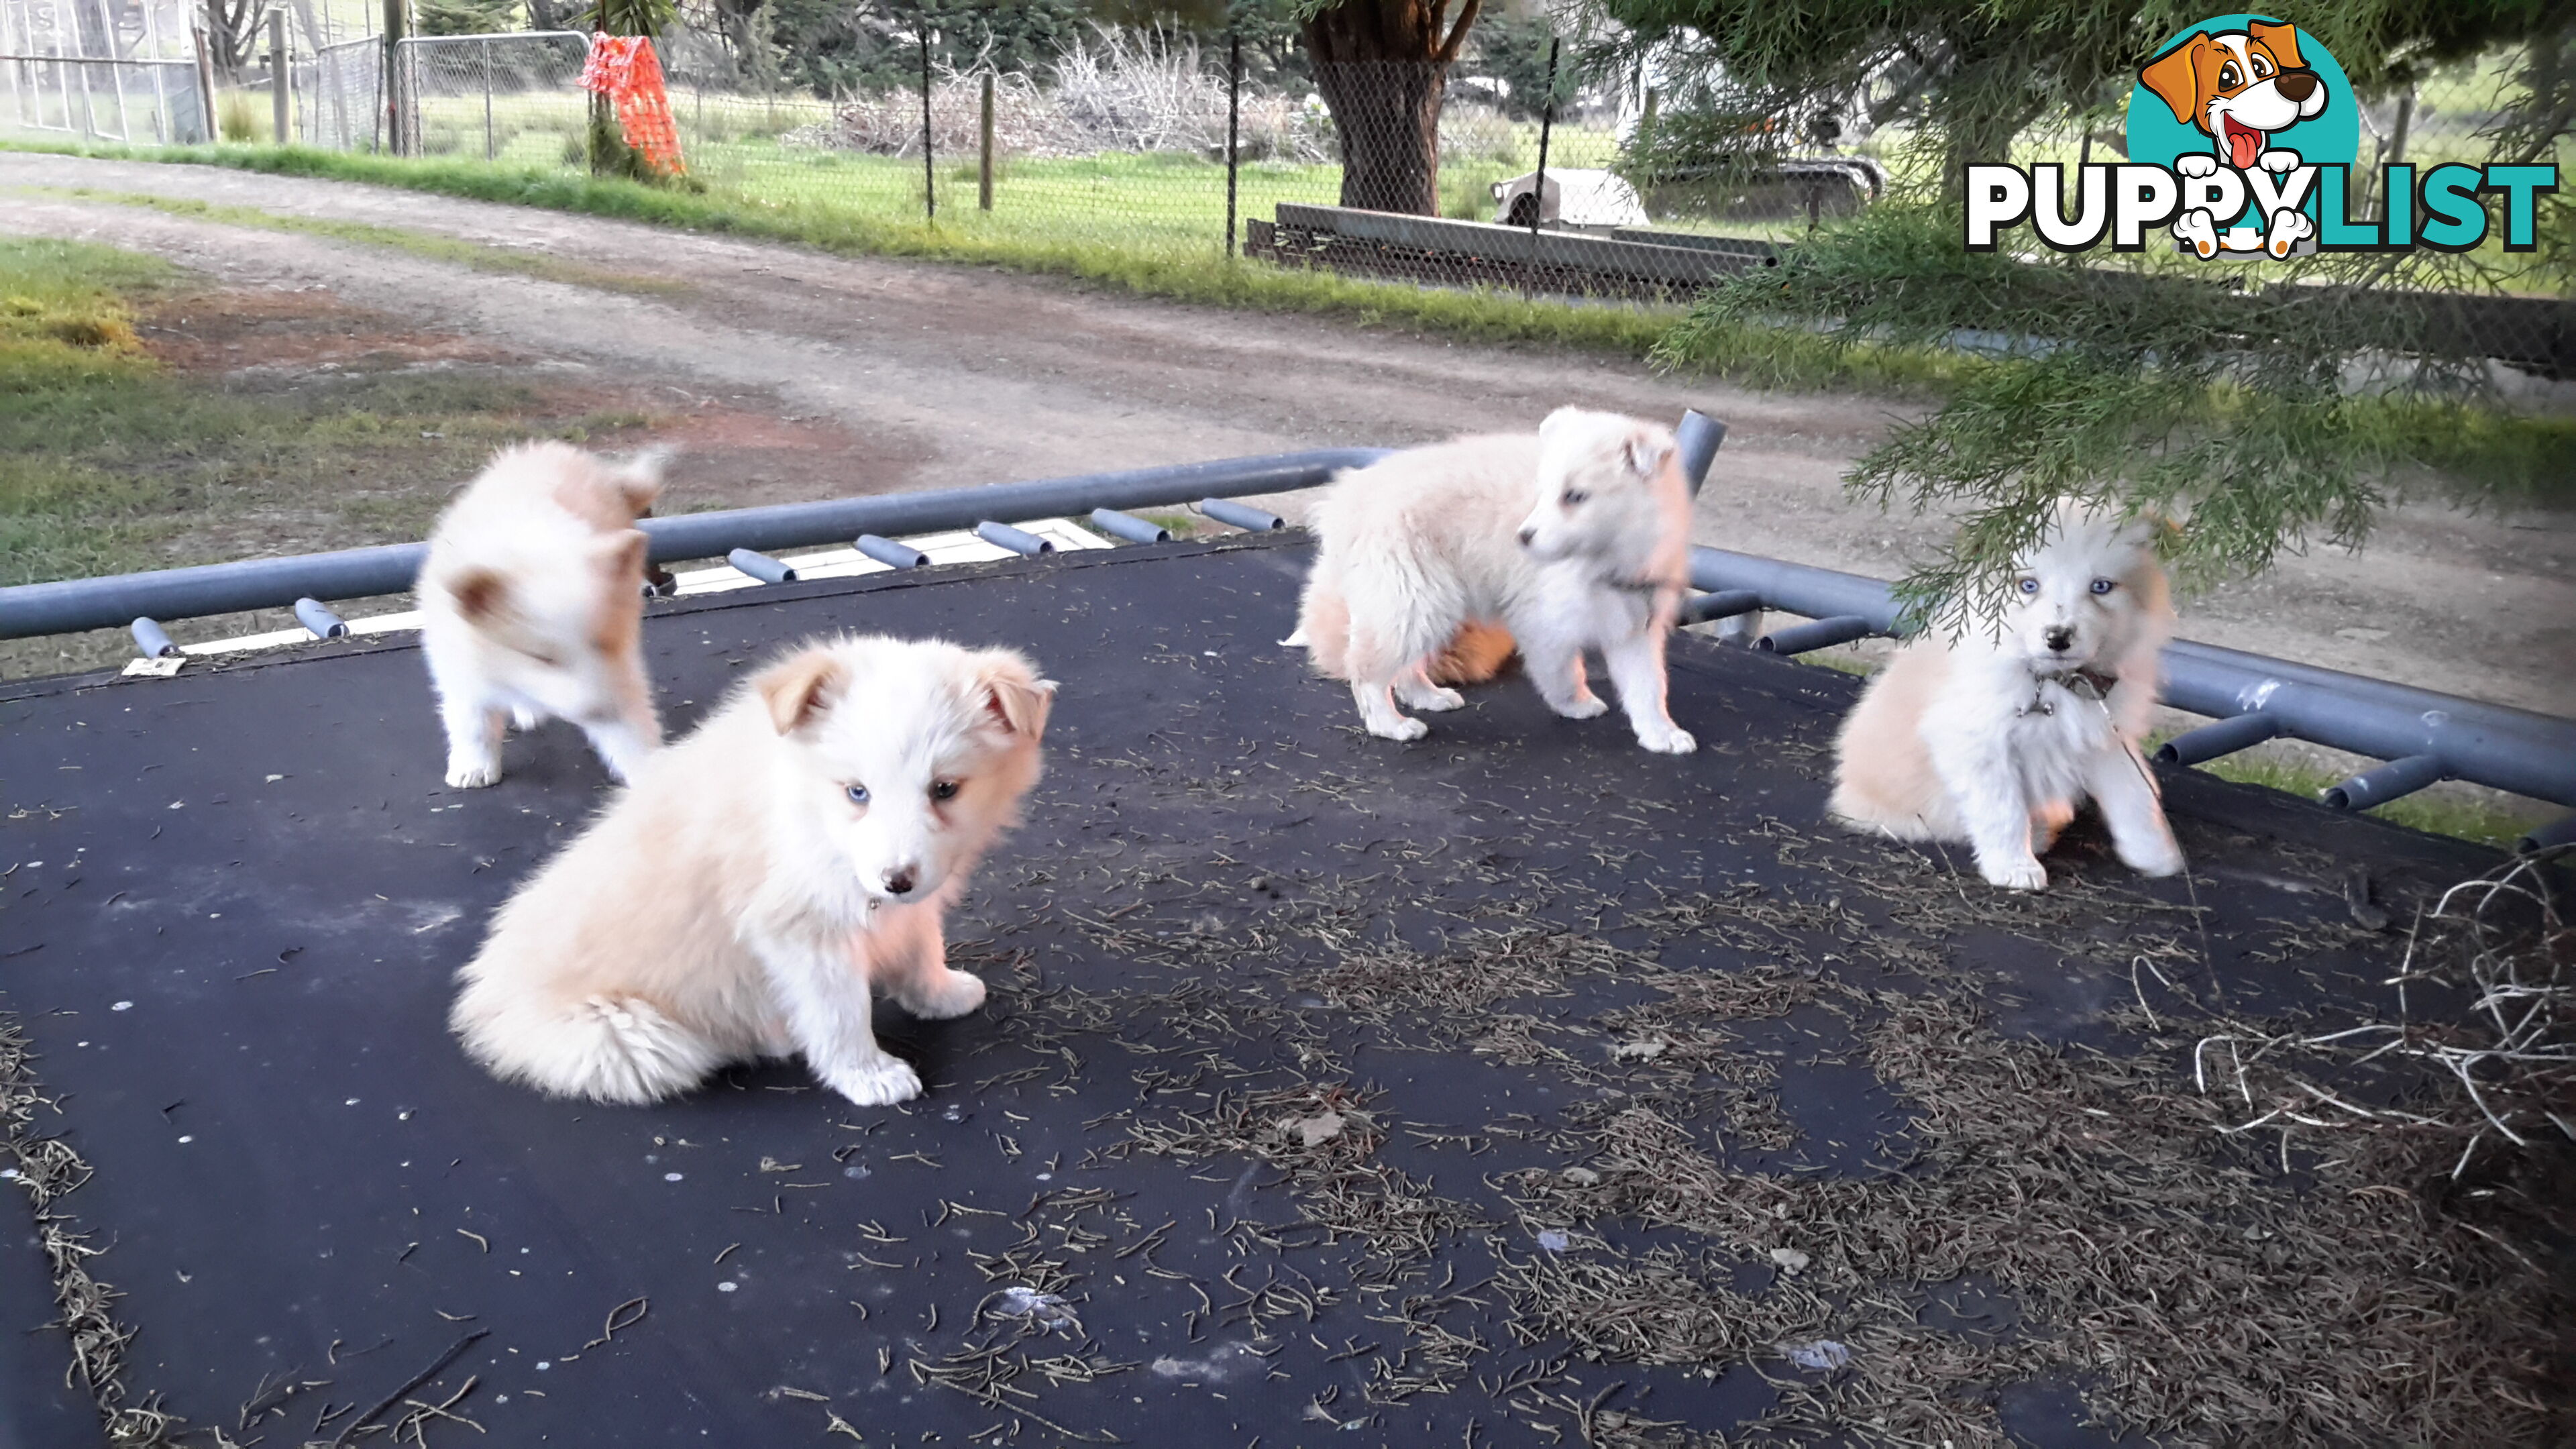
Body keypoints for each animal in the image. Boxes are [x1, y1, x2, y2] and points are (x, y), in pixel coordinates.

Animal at [419, 443, 664, 789]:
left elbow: (632, 734)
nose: (602, 711)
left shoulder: (619, 670)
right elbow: (473, 723)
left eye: (601, 645)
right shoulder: (461, 668)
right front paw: (474, 768)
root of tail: (548, 449)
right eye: (542, 658)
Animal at [1823, 508, 2184, 892]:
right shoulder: (1977, 742)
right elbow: (2002, 810)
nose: (2058, 638)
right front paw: (2015, 867)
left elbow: (2136, 794)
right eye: (2028, 585)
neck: (2053, 682)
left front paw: (2155, 853)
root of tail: (1848, 791)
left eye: (2100, 586)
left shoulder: (2104, 735)